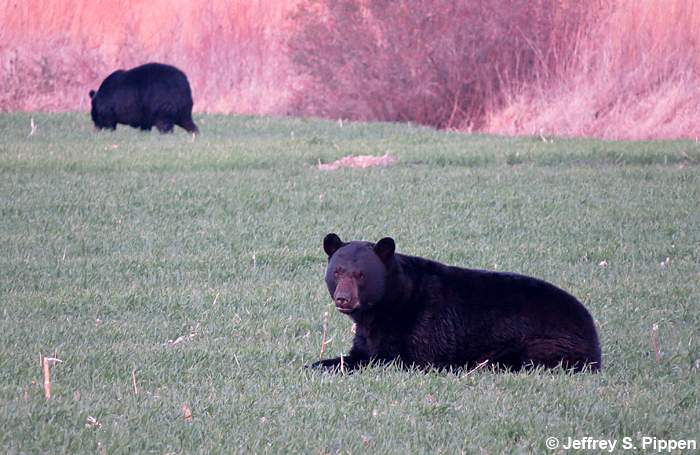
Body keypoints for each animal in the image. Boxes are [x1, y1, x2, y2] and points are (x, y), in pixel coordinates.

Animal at [310, 234, 602, 373]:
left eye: (361, 274)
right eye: (337, 272)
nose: (343, 298)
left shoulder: (418, 326)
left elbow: (391, 359)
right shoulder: (367, 332)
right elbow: (359, 352)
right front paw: (319, 363)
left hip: (547, 343)